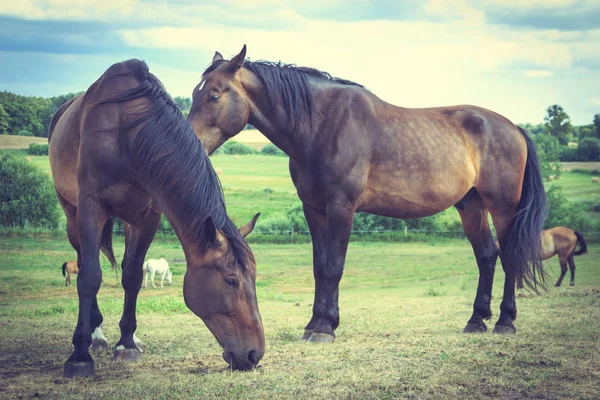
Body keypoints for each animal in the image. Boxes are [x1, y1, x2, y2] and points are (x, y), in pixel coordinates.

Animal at [50, 57, 266, 376]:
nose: (254, 354)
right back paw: (95, 334)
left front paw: (127, 343)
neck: (127, 135)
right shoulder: (91, 208)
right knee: (82, 262)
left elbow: (132, 276)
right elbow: (89, 277)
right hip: (72, 214)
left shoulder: (148, 217)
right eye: (230, 281)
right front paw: (79, 355)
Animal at [188, 45, 548, 342]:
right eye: (195, 93)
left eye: (215, 95)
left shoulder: (341, 208)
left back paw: (505, 321)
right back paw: (476, 321)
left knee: (509, 255)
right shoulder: (314, 209)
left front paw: (324, 328)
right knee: (487, 256)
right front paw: (314, 323)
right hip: (471, 206)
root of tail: (514, 128)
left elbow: (334, 266)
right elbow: (319, 266)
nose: (192, 142)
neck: (322, 126)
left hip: (503, 207)